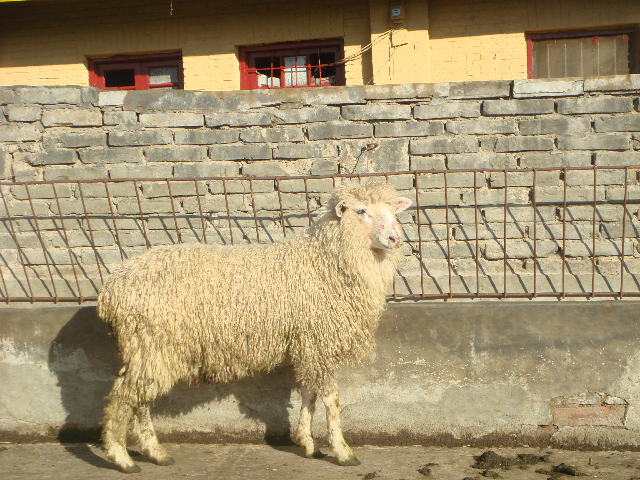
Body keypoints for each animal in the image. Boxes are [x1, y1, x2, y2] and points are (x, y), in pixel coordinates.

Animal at [97, 180, 412, 472]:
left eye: (392, 210)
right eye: (361, 211)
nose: (394, 238)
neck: (325, 263)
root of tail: (112, 287)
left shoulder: (306, 344)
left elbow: (308, 394)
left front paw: (308, 444)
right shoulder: (318, 341)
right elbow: (330, 400)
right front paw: (343, 451)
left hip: (147, 349)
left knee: (139, 398)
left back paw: (155, 453)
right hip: (152, 343)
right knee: (123, 397)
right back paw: (122, 457)